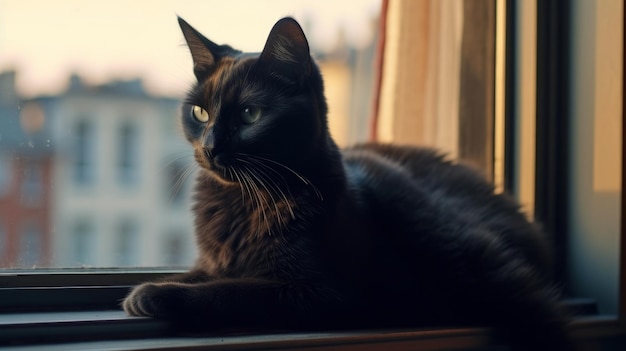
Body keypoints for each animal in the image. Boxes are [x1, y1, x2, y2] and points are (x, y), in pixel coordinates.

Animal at [123, 17, 572, 351]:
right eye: (199, 112)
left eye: (250, 114)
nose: (211, 147)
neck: (243, 200)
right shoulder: (213, 260)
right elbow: (202, 274)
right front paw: (155, 286)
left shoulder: (322, 293)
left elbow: (233, 291)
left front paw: (158, 294)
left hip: (466, 254)